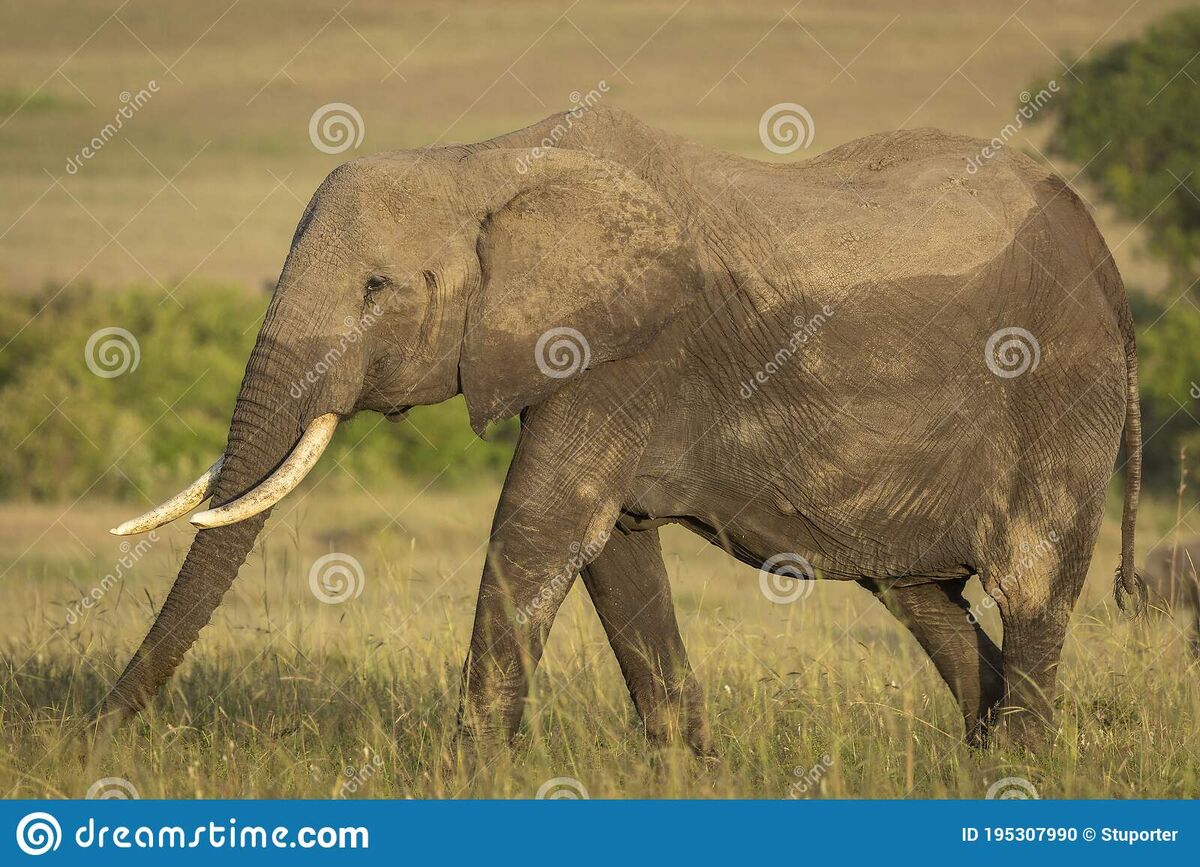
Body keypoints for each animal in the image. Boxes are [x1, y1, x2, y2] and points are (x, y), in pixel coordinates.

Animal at [98, 106, 1137, 758]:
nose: (93, 728)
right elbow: (612, 549)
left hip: (1061, 387)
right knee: (922, 596)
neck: (491, 161)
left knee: (1032, 579)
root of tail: (1108, 260)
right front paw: (688, 774)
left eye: (376, 289)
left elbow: (540, 527)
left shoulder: (628, 347)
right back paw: (989, 755)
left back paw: (1020, 771)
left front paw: (468, 777)